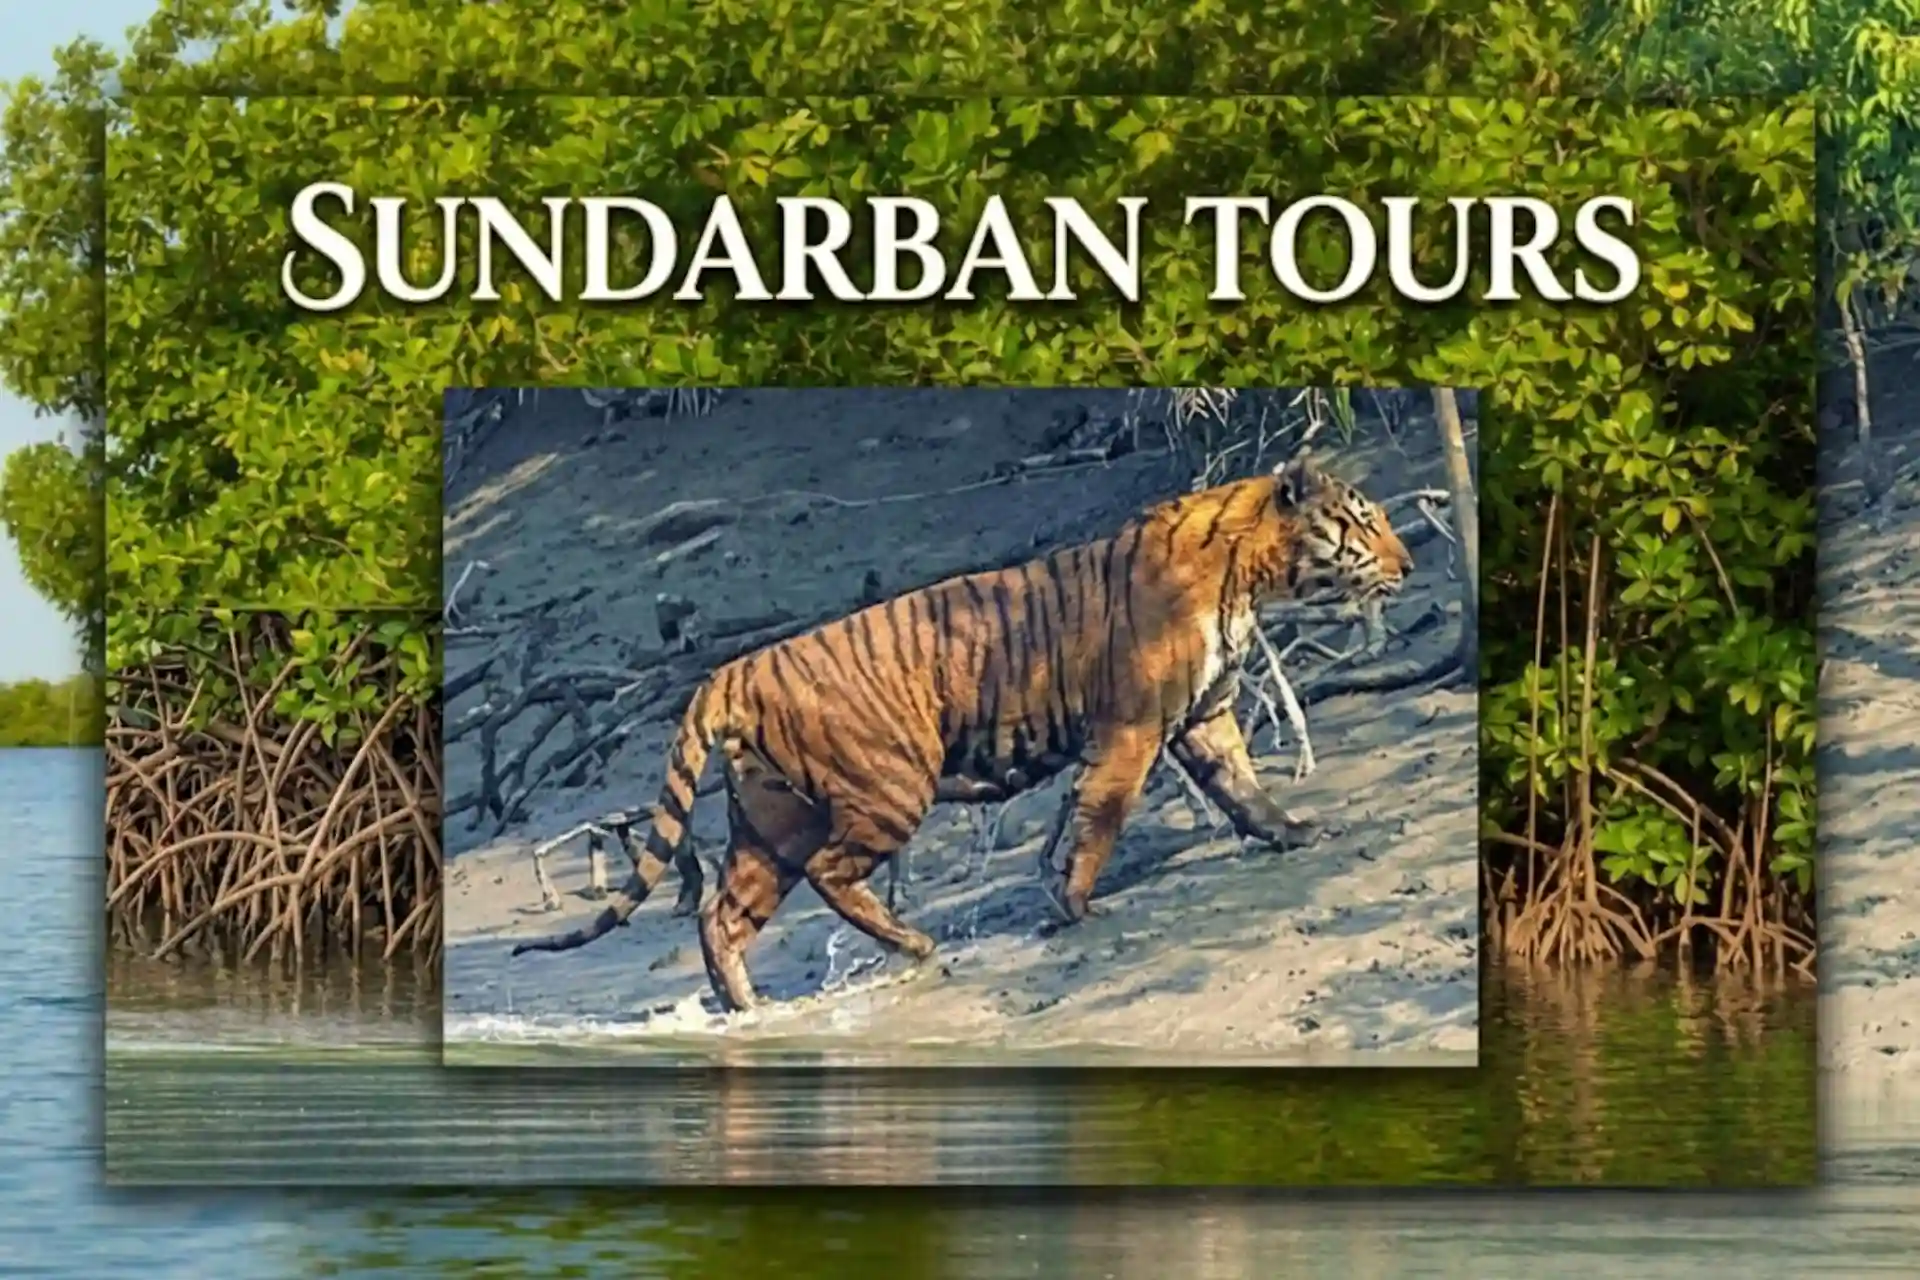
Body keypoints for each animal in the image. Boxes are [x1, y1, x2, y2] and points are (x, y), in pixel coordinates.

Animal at [512, 453, 1414, 1013]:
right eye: (1364, 522)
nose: (1406, 566)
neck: (1247, 575)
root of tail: (731, 670)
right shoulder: (1131, 728)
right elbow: (1101, 818)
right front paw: (1074, 905)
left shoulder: (1203, 713)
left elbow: (1241, 786)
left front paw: (1295, 832)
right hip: (886, 788)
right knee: (832, 876)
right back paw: (913, 944)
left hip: (771, 822)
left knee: (722, 915)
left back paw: (747, 1007)